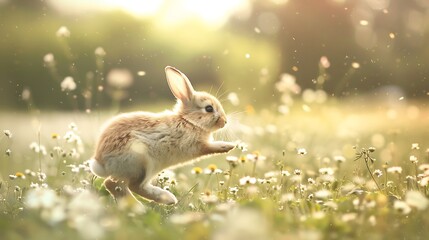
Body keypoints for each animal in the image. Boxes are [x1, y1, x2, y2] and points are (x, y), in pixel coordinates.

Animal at [90, 65, 236, 204]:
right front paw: (228, 146)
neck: (188, 121)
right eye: (209, 108)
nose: (225, 121)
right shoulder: (196, 145)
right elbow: (210, 147)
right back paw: (161, 201)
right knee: (127, 185)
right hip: (142, 163)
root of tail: (101, 162)